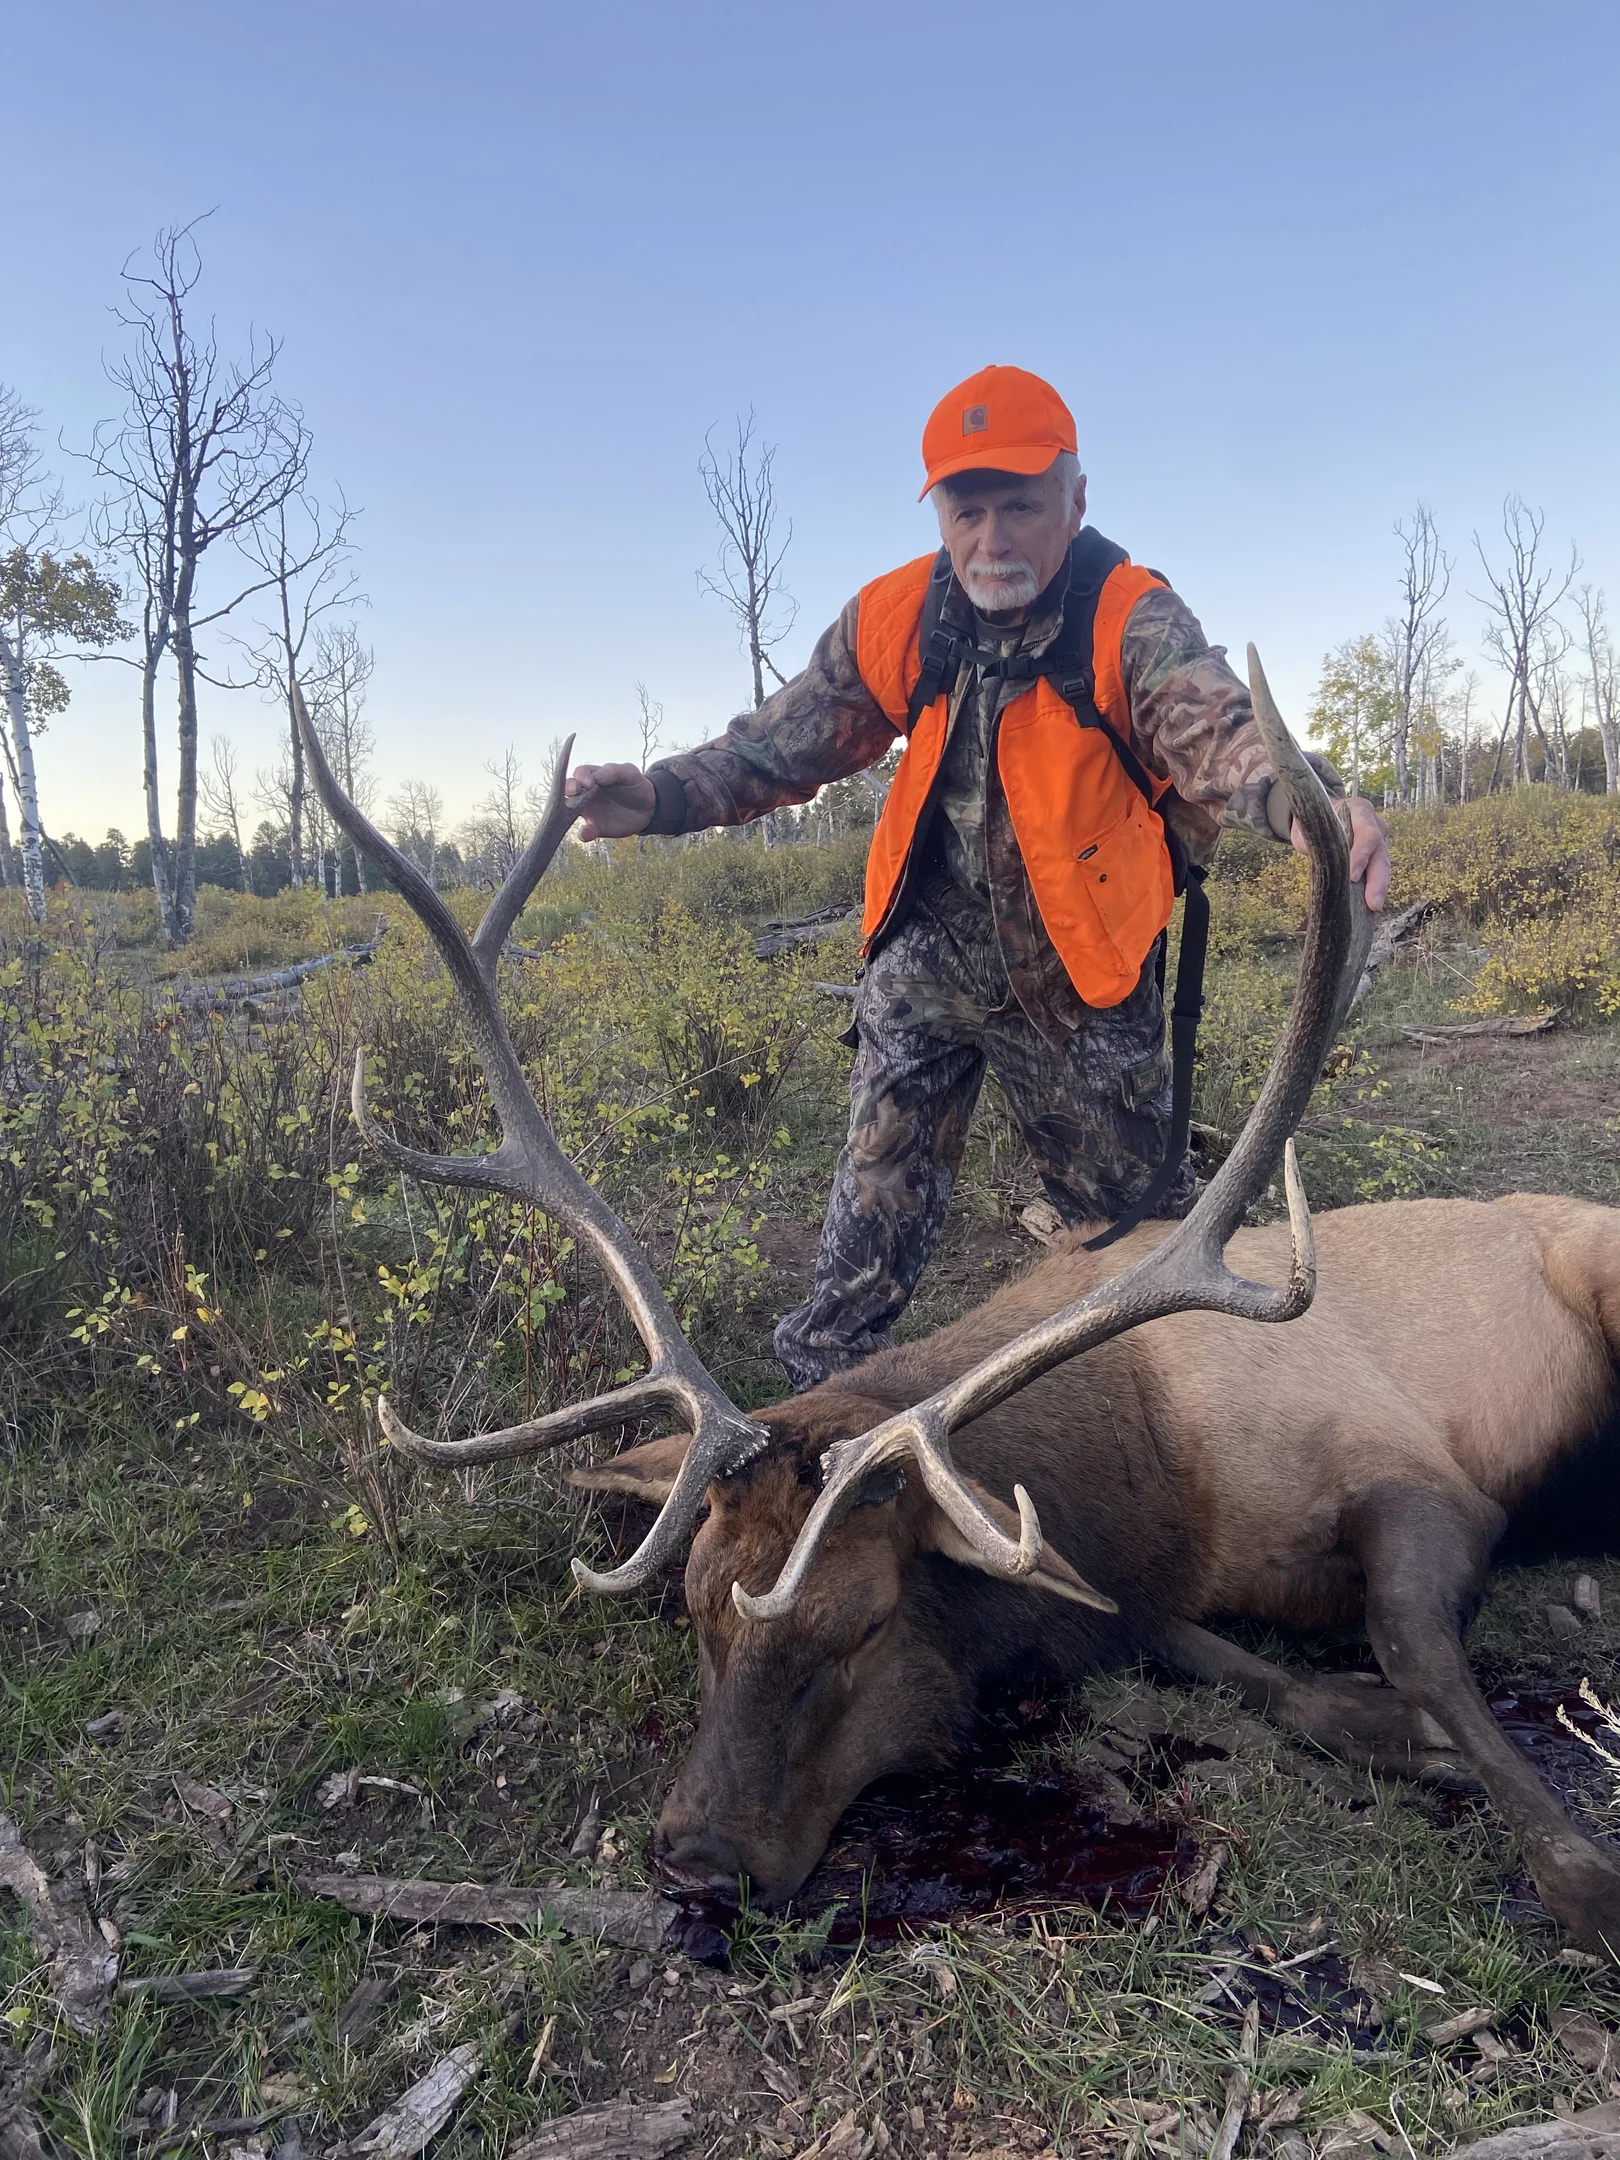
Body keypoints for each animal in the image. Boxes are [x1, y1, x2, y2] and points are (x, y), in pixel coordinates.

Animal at [295, 656, 1620, 1957]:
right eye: (696, 1606)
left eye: (862, 1628)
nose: (694, 1864)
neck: (1151, 1474)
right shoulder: (1129, 1582)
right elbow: (1237, 1662)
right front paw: (1382, 1723)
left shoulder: (1411, 1473)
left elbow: (1409, 1641)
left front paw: (1567, 1864)